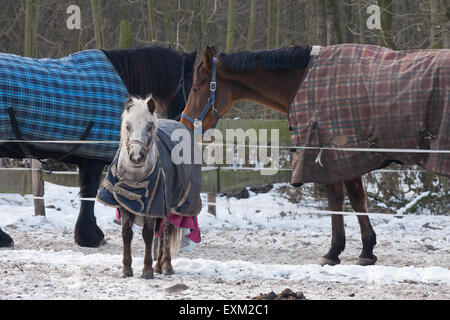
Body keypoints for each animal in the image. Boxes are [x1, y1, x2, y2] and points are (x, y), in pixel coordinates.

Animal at [181, 45, 448, 264]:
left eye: (195, 86)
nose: (184, 124)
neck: (303, 80)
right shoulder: (346, 160)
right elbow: (355, 199)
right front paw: (365, 250)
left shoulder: (334, 156)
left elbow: (339, 201)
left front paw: (336, 252)